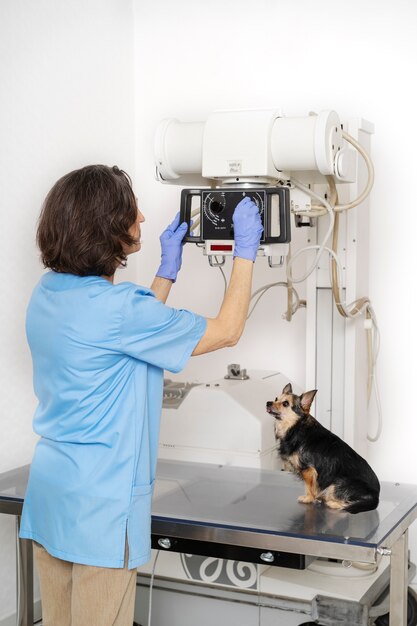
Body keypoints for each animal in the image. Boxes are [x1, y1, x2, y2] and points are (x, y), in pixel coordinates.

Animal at [264, 380, 378, 512]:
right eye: (276, 399)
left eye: (285, 403)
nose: (268, 403)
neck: (295, 427)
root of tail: (376, 497)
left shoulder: (309, 470)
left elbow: (309, 487)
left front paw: (308, 498)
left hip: (337, 483)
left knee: (349, 504)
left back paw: (332, 503)